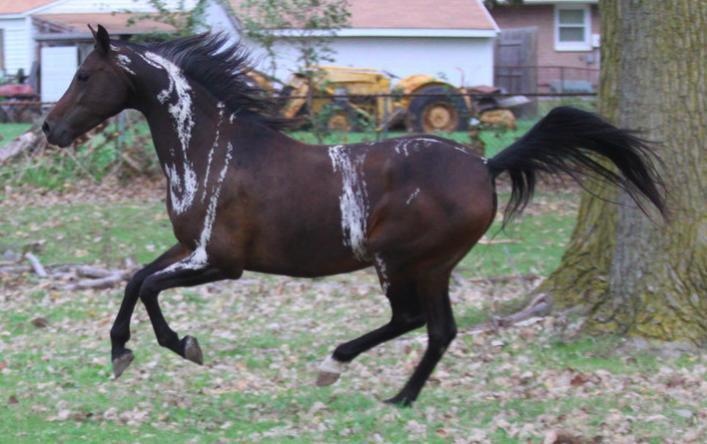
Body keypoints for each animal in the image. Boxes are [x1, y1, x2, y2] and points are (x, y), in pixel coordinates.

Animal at [42, 25, 664, 406]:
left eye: (84, 75)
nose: (50, 128)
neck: (214, 150)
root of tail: (486, 163)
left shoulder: (220, 262)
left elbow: (149, 289)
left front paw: (182, 346)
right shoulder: (189, 248)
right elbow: (134, 280)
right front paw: (121, 351)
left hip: (403, 261)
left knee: (413, 321)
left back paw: (336, 365)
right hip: (433, 267)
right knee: (440, 329)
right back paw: (402, 397)